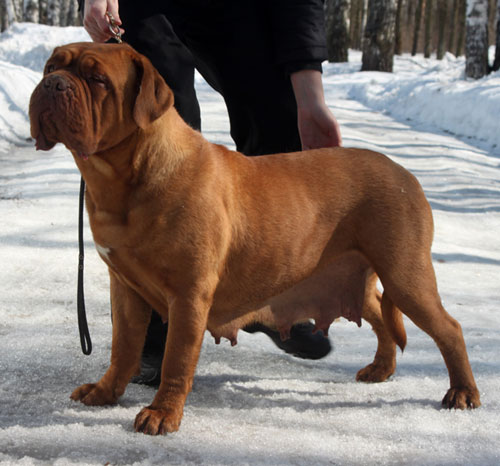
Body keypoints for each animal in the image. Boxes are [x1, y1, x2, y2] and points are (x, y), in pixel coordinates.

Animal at [29, 42, 480, 435]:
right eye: (51, 66)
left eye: (97, 79)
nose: (53, 84)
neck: (123, 179)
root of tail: (405, 173)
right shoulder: (125, 289)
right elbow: (123, 349)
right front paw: (105, 393)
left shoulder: (189, 294)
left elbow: (177, 359)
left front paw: (162, 414)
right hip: (351, 276)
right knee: (381, 317)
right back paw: (381, 370)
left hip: (406, 275)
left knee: (449, 328)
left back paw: (462, 392)